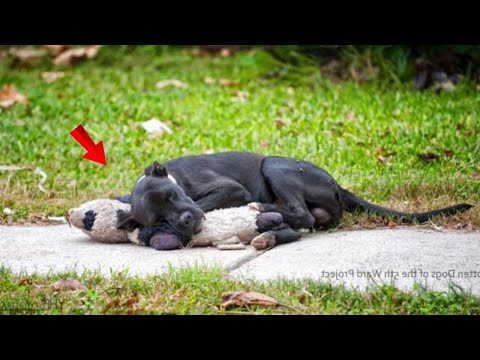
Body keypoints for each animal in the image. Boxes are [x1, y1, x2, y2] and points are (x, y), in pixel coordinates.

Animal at [117, 151, 472, 248]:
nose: (186, 221)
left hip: (275, 165)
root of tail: (337, 185)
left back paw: (262, 211)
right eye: (158, 218)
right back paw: (268, 232)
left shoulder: (231, 190)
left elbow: (206, 203)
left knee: (302, 215)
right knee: (300, 221)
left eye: (173, 196)